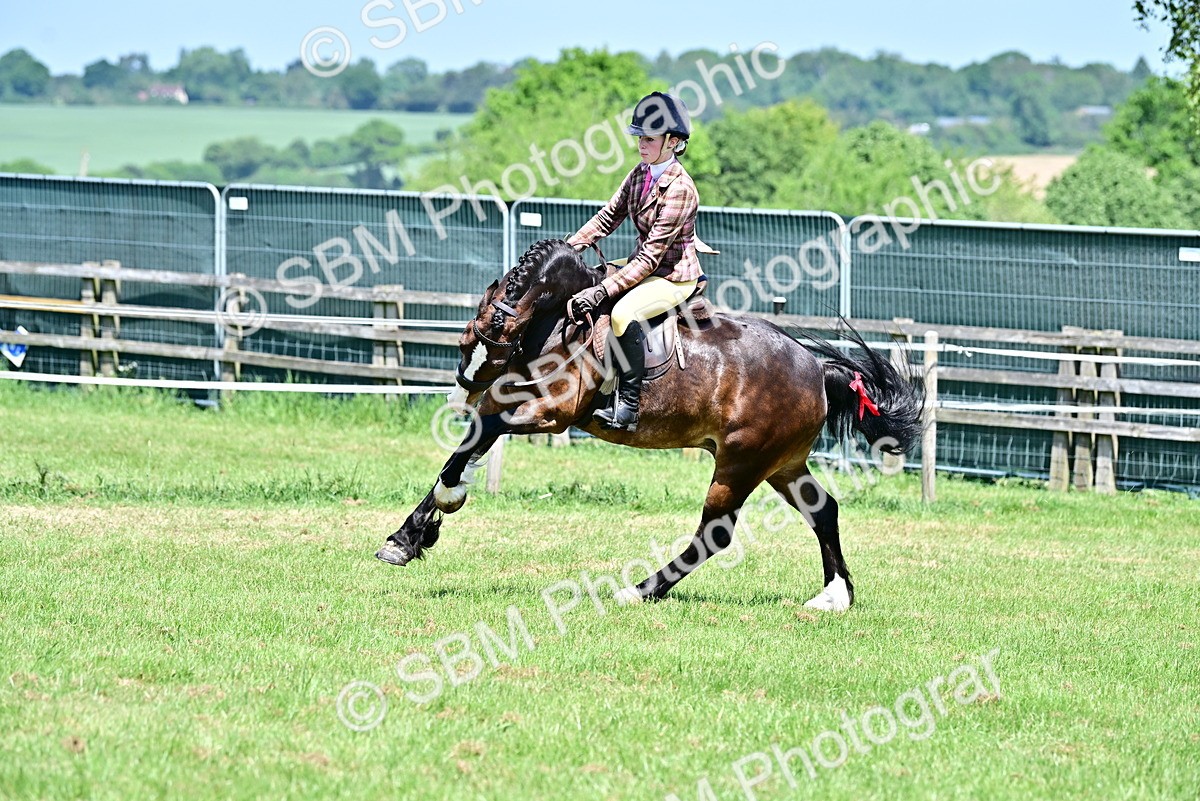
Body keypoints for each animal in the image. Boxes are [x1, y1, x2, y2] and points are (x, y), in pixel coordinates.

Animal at [375, 239, 923, 611]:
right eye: (468, 338)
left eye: (495, 330)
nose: (462, 386)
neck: (558, 326)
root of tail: (815, 369)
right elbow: (470, 442)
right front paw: (407, 537)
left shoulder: (551, 414)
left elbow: (484, 431)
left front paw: (447, 500)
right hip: (781, 464)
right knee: (823, 510)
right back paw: (834, 596)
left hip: (741, 464)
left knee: (715, 535)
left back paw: (637, 591)